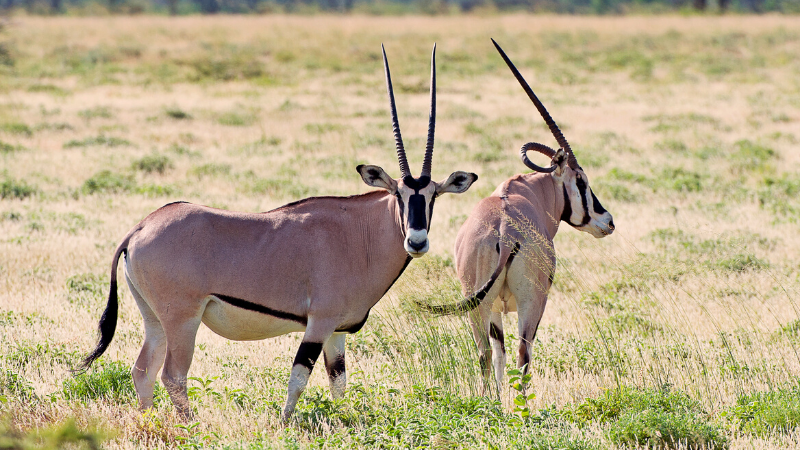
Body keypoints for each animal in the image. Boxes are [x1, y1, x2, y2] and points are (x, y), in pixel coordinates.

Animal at [81, 44, 478, 420]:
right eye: (398, 194)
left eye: (433, 196)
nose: (416, 241)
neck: (357, 232)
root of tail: (141, 227)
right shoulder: (318, 323)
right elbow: (298, 378)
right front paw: (285, 424)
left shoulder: (337, 332)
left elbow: (338, 383)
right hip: (183, 319)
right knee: (172, 375)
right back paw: (191, 426)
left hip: (155, 319)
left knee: (143, 371)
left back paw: (150, 422)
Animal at [418, 40, 612, 392]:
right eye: (581, 181)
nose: (608, 221)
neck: (527, 191)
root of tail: (507, 233)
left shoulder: (492, 304)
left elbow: (497, 355)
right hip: (531, 301)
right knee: (523, 354)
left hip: (477, 302)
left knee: (484, 353)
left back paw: (487, 401)